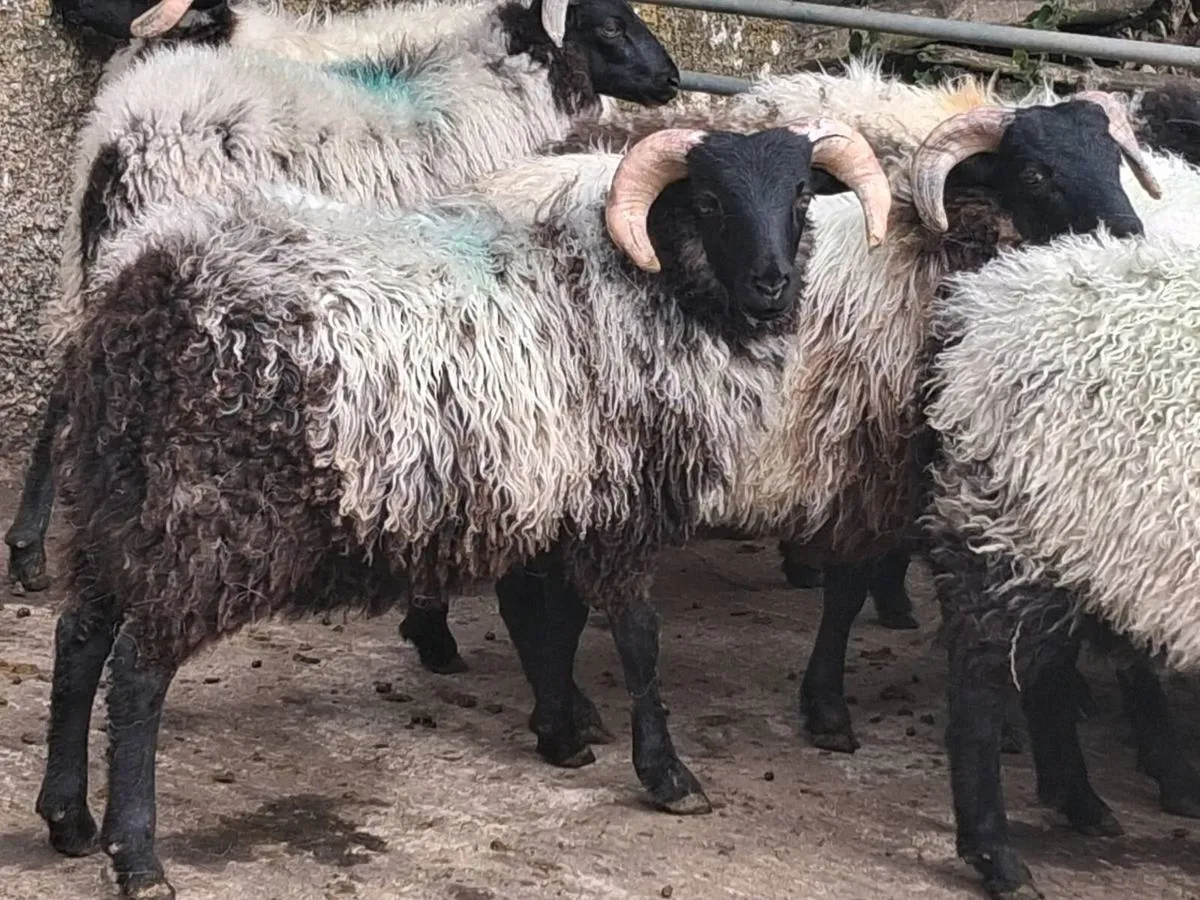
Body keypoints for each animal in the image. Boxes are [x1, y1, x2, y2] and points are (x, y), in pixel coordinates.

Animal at [34, 119, 892, 898]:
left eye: (801, 193)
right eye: (710, 200)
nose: (772, 285)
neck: (645, 284)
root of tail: (146, 290)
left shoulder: (558, 499)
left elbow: (554, 622)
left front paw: (561, 731)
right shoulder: (616, 507)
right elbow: (636, 640)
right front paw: (666, 774)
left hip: (115, 501)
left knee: (78, 641)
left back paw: (69, 819)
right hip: (206, 518)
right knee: (137, 674)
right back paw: (138, 858)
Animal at [921, 208, 1200, 898]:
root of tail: (987, 302)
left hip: (1074, 548)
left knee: (1041, 673)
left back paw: (1081, 803)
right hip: (1013, 527)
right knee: (984, 683)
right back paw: (997, 855)